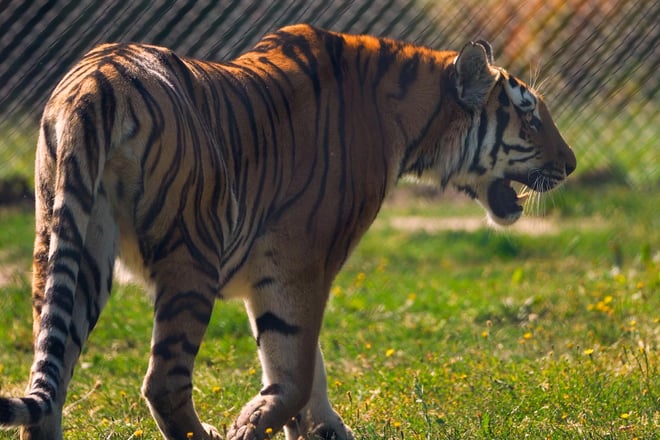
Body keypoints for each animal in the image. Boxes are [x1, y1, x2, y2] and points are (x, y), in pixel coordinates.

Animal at [0, 23, 575, 440]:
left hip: (73, 246)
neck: (411, 122)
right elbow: (296, 367)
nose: (570, 164)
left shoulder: (284, 273)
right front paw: (252, 425)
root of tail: (95, 82)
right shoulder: (299, 261)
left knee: (52, 376)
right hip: (191, 256)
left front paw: (318, 430)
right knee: (164, 382)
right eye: (530, 118)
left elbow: (302, 362)